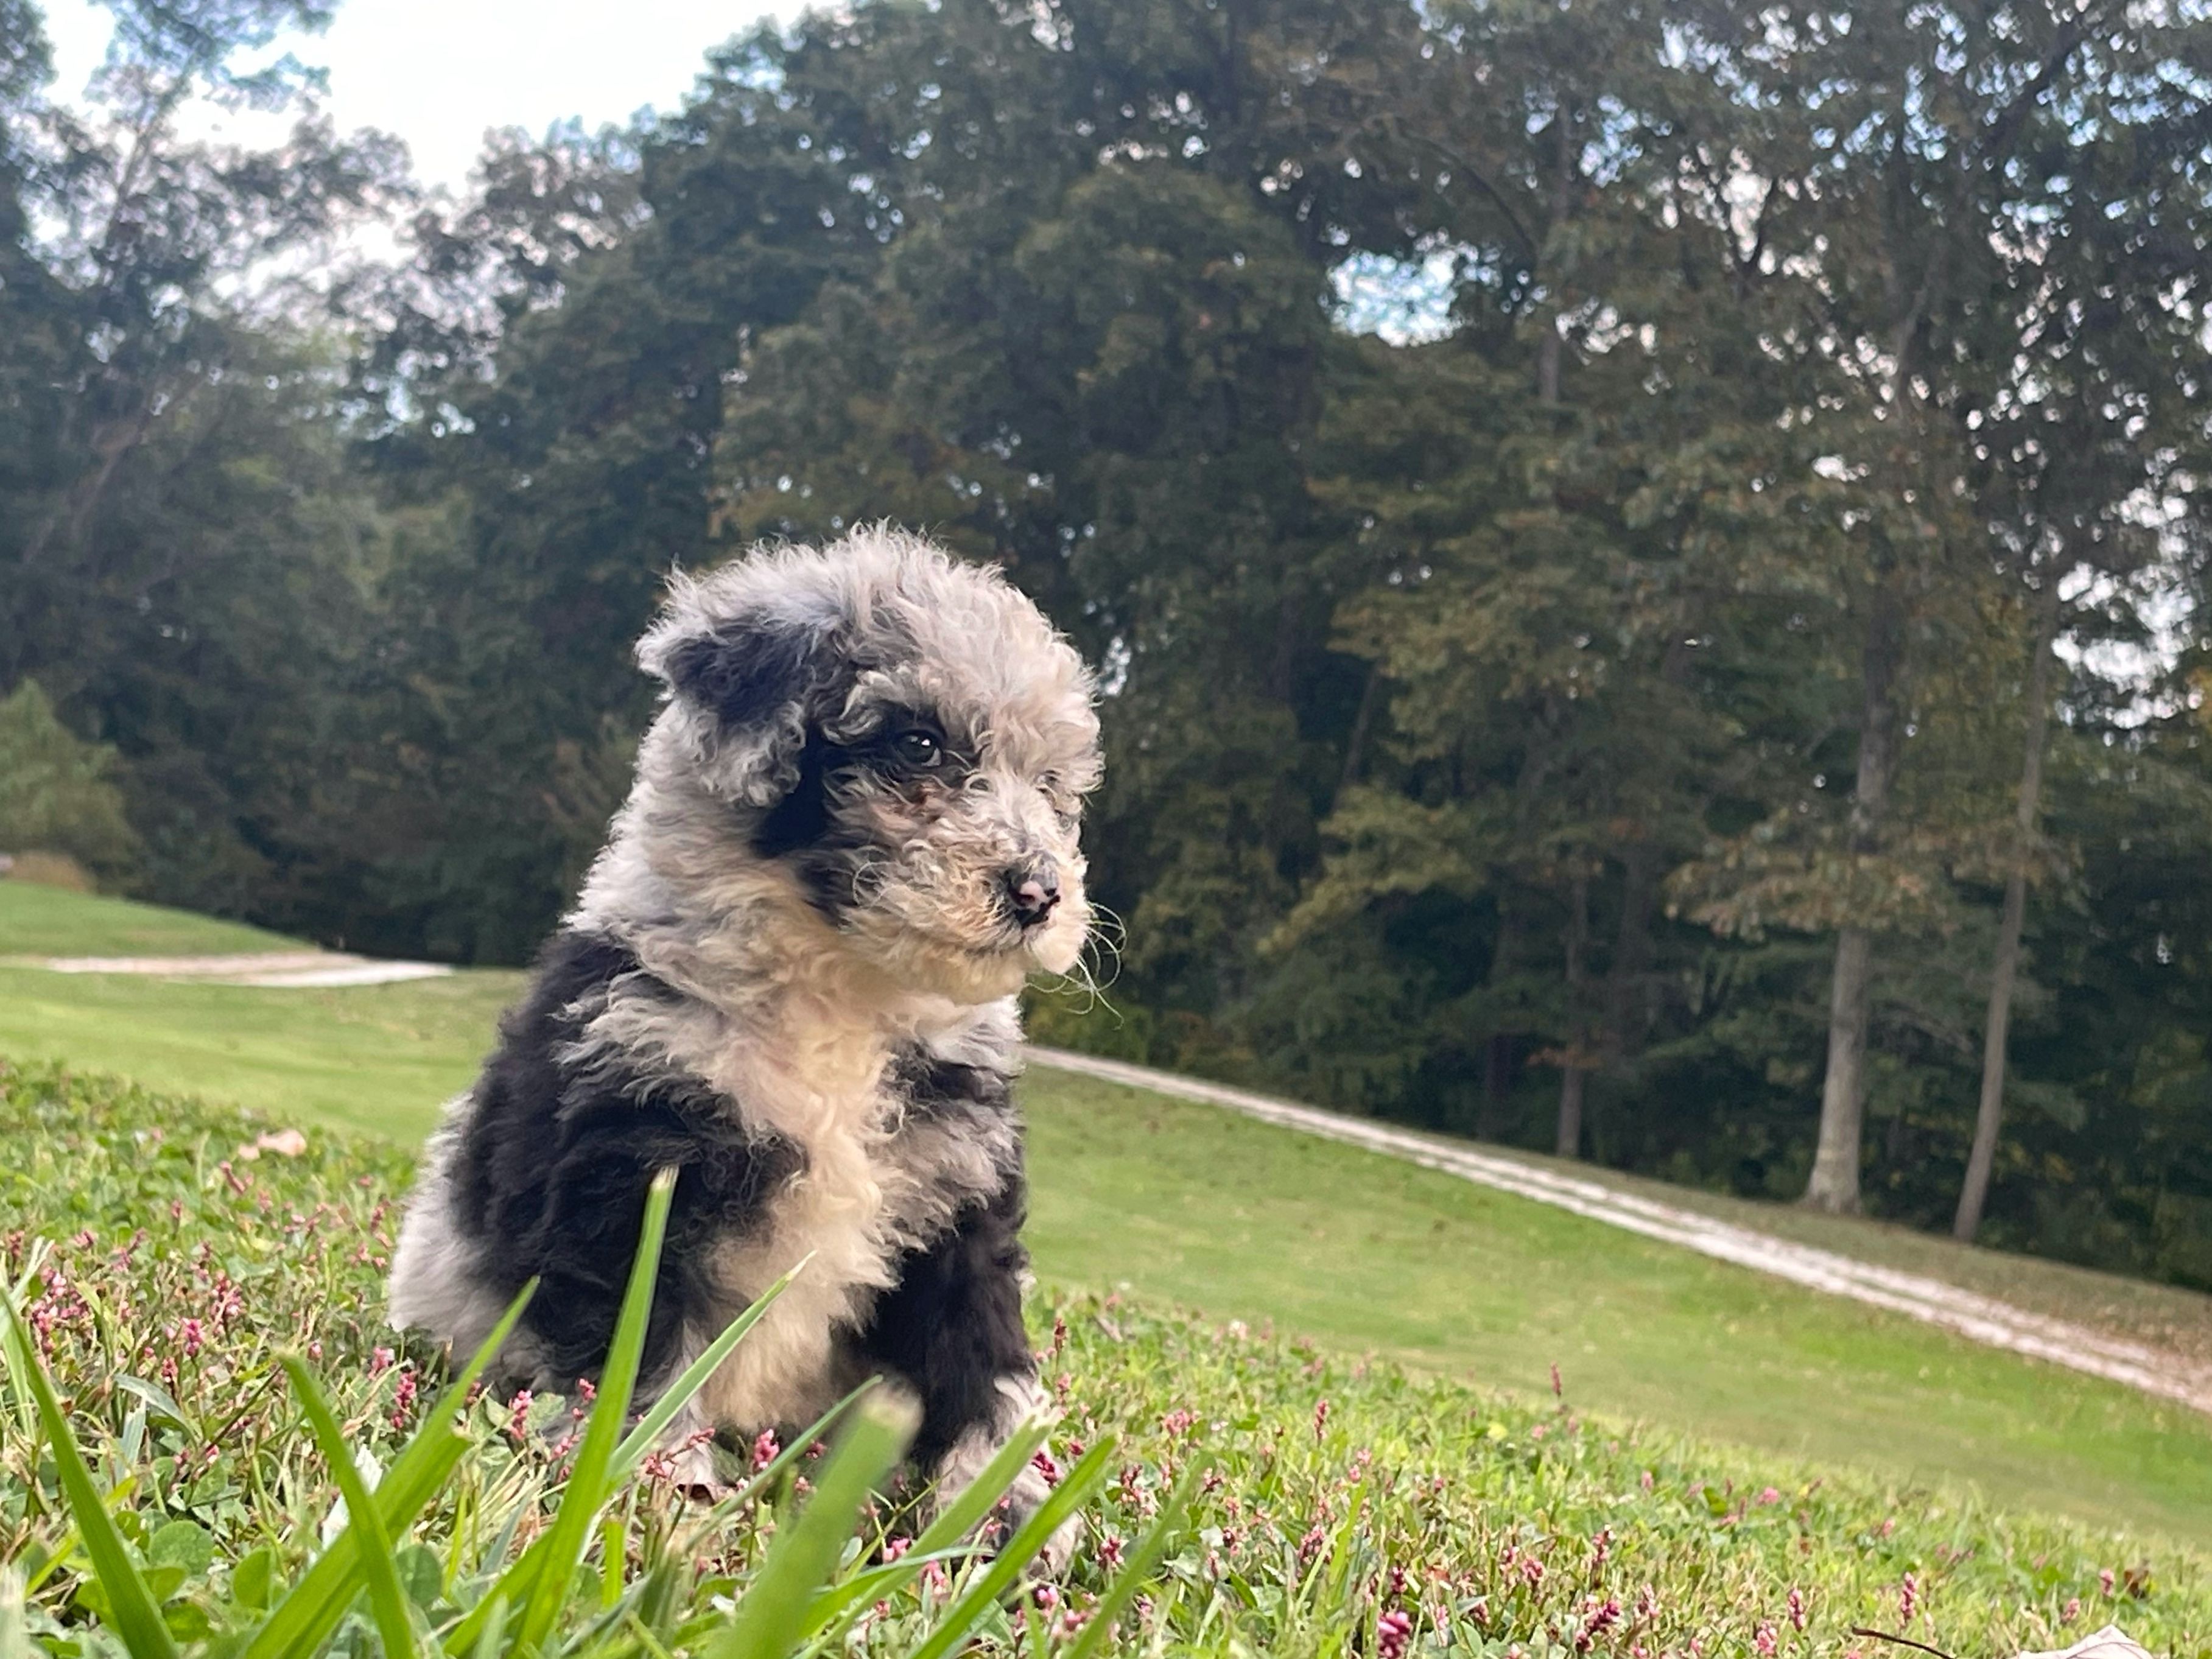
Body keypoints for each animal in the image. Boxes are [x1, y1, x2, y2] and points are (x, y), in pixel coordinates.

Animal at [388, 527, 1100, 1558]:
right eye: (918, 743)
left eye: (1051, 787)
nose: (1042, 892)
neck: (844, 998)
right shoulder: (630, 1159)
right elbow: (639, 1357)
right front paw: (665, 1493)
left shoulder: (961, 1206)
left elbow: (986, 1362)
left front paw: (1007, 1514)